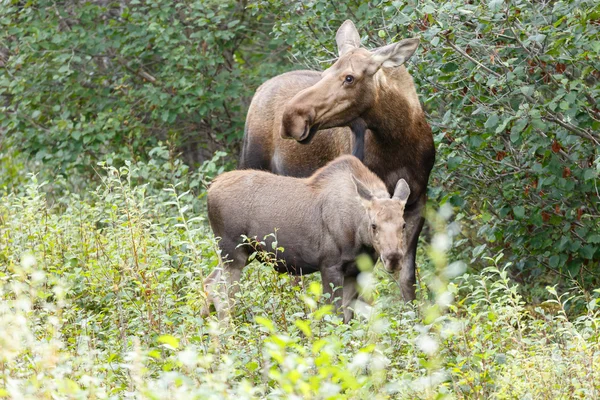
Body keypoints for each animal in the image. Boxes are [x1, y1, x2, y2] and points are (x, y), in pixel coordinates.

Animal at [204, 155, 410, 320]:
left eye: (403, 224)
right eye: (374, 225)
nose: (393, 258)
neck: (359, 236)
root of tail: (211, 187)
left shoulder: (357, 270)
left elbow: (347, 316)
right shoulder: (330, 265)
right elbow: (333, 314)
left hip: (241, 254)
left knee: (210, 283)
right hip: (233, 253)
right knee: (224, 296)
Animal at [240, 19, 436, 300]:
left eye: (349, 78)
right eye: (324, 73)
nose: (290, 118)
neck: (398, 142)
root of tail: (261, 88)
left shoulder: (416, 203)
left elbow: (407, 279)